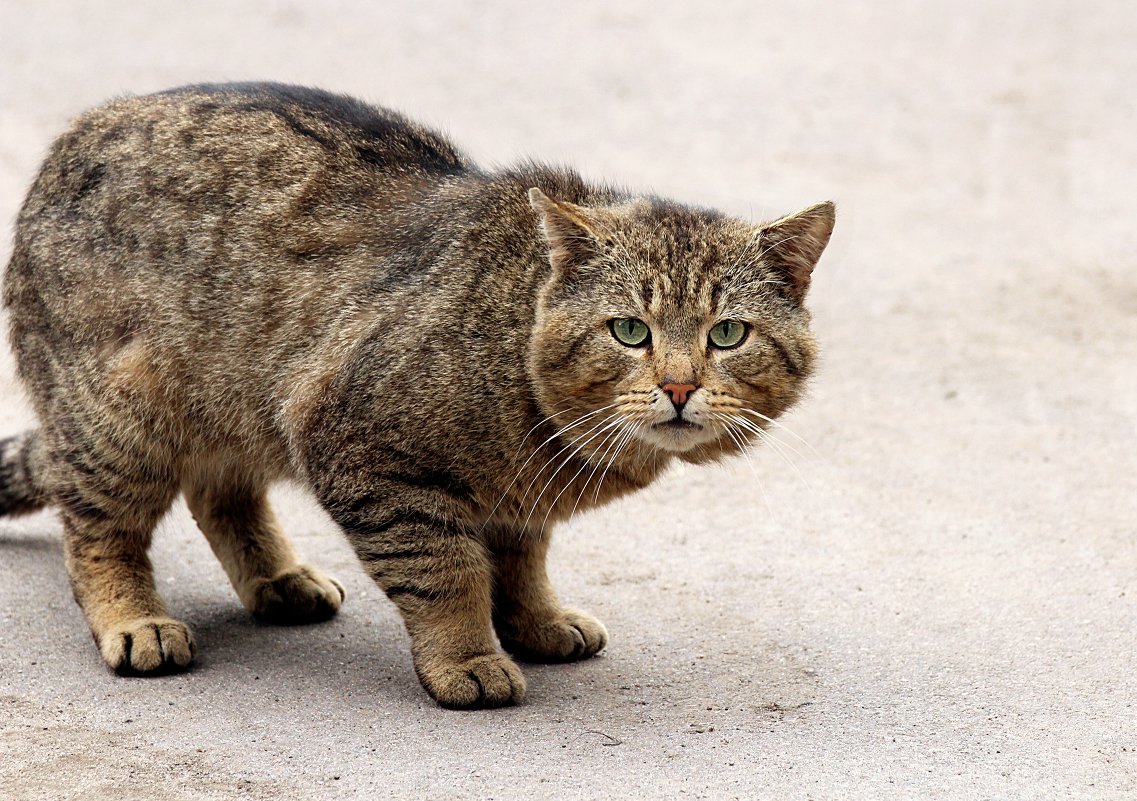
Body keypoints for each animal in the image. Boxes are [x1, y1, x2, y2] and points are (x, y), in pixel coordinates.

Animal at [2, 81, 836, 705]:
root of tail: (70, 140)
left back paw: (276, 577)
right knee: (98, 531)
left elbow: (520, 561)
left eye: (726, 334)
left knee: (219, 494)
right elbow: (445, 573)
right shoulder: (362, 452)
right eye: (629, 330)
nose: (678, 384)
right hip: (122, 417)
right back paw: (135, 618)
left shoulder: (515, 501)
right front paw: (467, 655)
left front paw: (535, 620)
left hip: (234, 412)